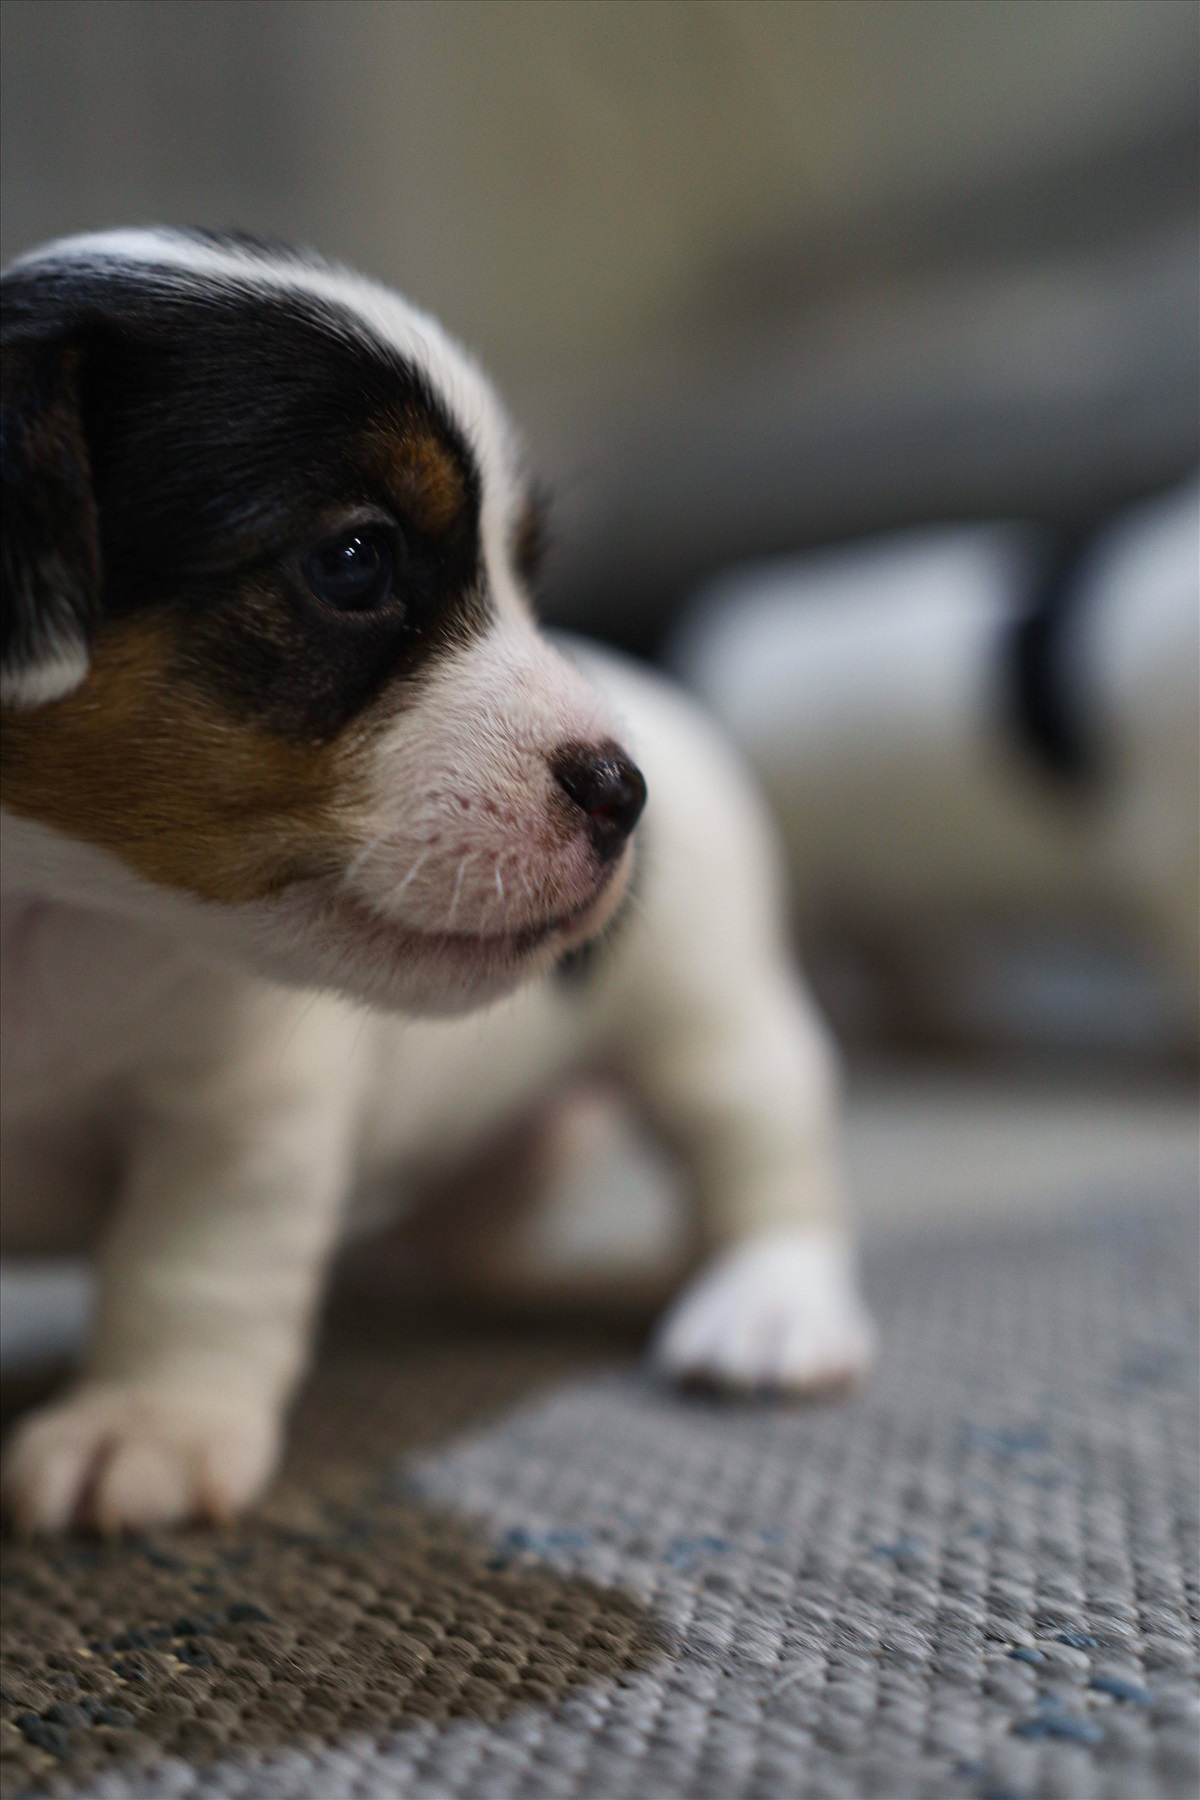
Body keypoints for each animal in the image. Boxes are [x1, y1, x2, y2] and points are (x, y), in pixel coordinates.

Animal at [0, 232, 874, 1533]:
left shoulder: (242, 1113)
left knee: (768, 1160)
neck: (46, 913)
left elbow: (194, 1264)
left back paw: (771, 1308)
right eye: (354, 561)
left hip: (719, 1021)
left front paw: (149, 1420)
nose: (626, 793)